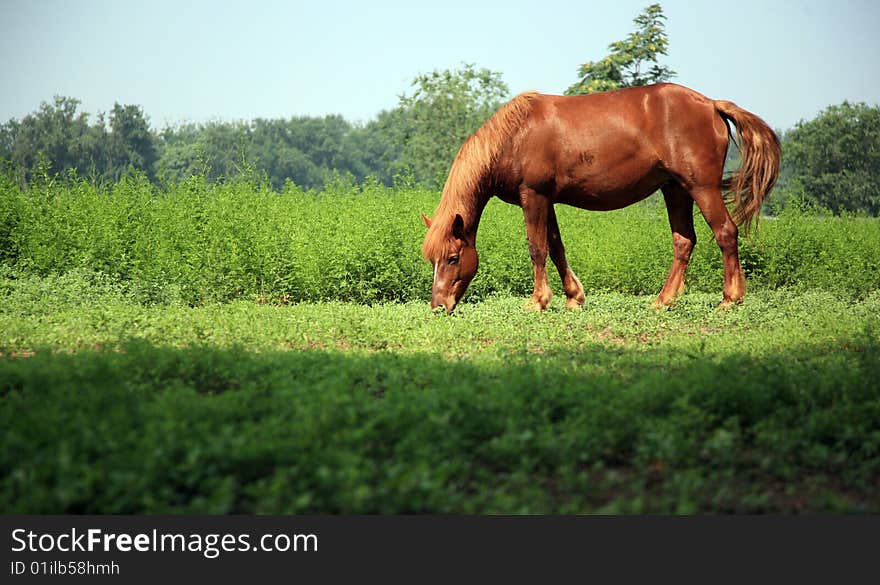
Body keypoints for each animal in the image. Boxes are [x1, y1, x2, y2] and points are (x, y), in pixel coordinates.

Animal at [422, 81, 780, 314]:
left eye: (452, 258)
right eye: (433, 260)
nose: (438, 306)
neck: (514, 136)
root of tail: (711, 104)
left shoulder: (533, 196)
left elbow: (537, 248)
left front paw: (538, 301)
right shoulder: (548, 200)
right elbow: (556, 247)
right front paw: (573, 297)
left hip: (701, 188)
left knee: (725, 233)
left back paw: (730, 298)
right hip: (675, 189)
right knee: (684, 242)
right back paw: (663, 300)